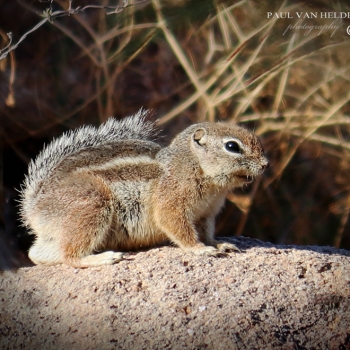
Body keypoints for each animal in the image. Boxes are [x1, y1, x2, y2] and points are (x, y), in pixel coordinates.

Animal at [19, 109, 270, 268]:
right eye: (232, 146)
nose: (266, 164)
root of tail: (34, 207)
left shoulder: (206, 214)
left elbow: (207, 233)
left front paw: (219, 244)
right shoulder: (172, 201)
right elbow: (177, 227)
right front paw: (200, 249)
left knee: (36, 253)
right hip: (92, 205)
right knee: (70, 256)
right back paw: (102, 259)